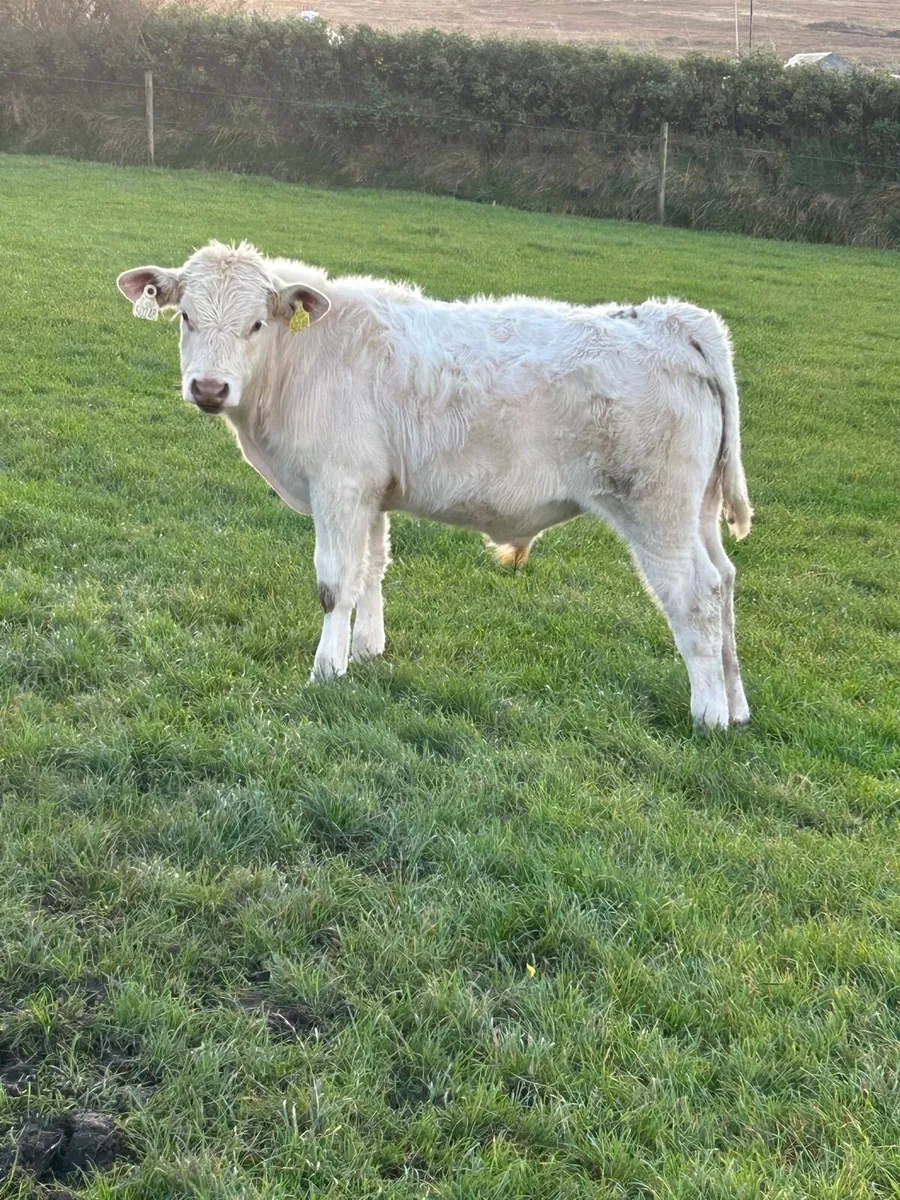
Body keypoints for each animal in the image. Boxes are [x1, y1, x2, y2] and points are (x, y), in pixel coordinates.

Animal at [117, 240, 753, 728]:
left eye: (254, 325)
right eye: (186, 317)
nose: (209, 387)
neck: (302, 361)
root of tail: (673, 320)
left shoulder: (339, 486)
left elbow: (335, 582)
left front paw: (326, 670)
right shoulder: (371, 491)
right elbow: (372, 568)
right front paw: (366, 650)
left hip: (656, 509)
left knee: (696, 595)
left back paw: (709, 715)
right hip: (697, 511)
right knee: (724, 584)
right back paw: (737, 706)